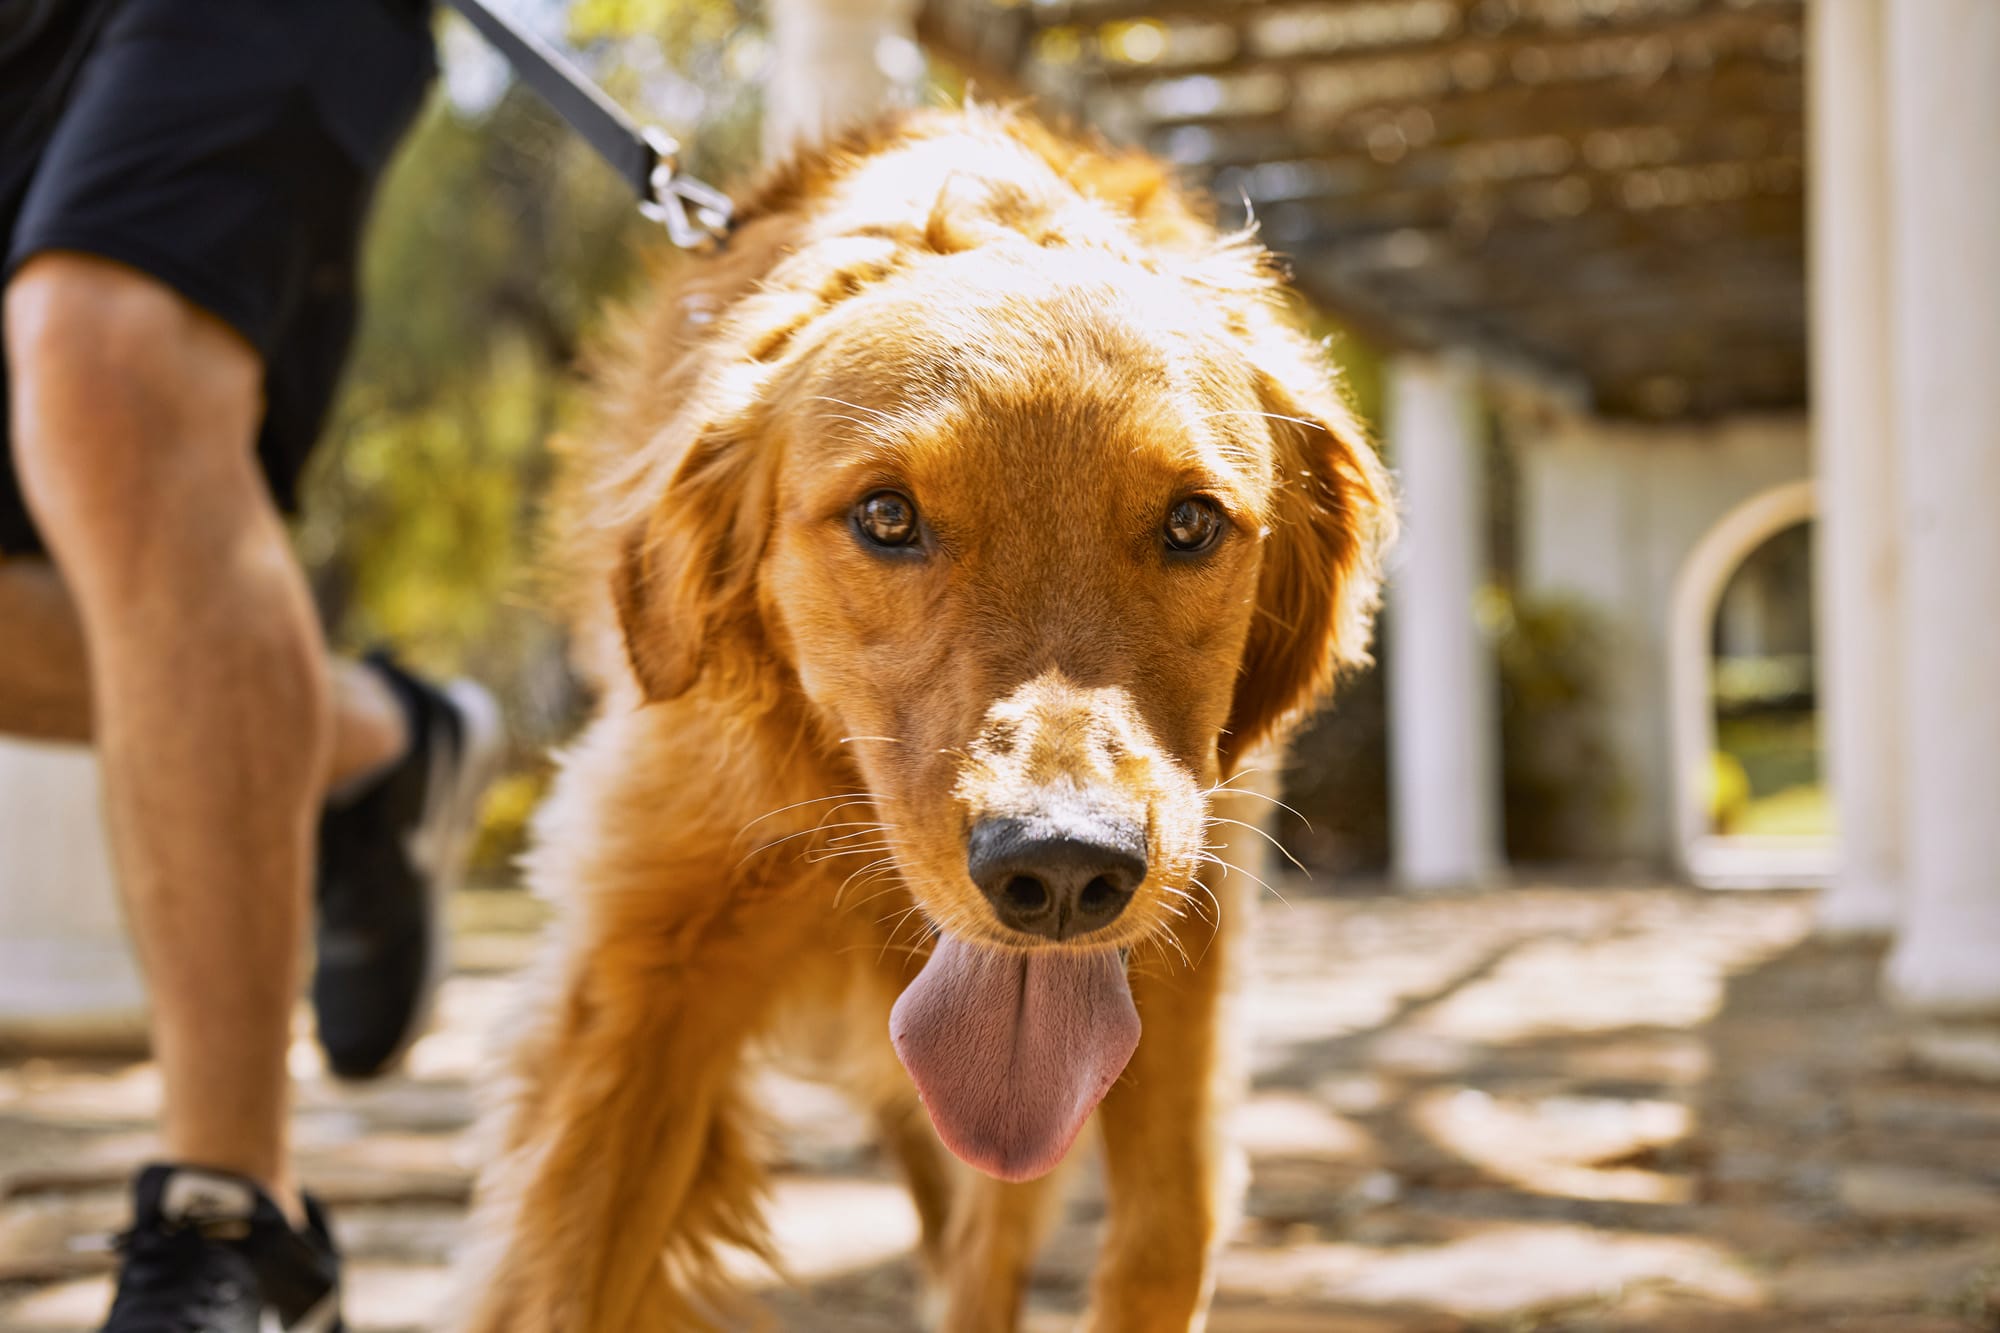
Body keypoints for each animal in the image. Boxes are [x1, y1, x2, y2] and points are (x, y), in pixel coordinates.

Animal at [452, 106, 1392, 1328]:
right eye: (886, 516)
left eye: (1191, 523)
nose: (1060, 869)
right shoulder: (644, 971)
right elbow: (570, 1276)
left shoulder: (1188, 943)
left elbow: (1163, 1231)